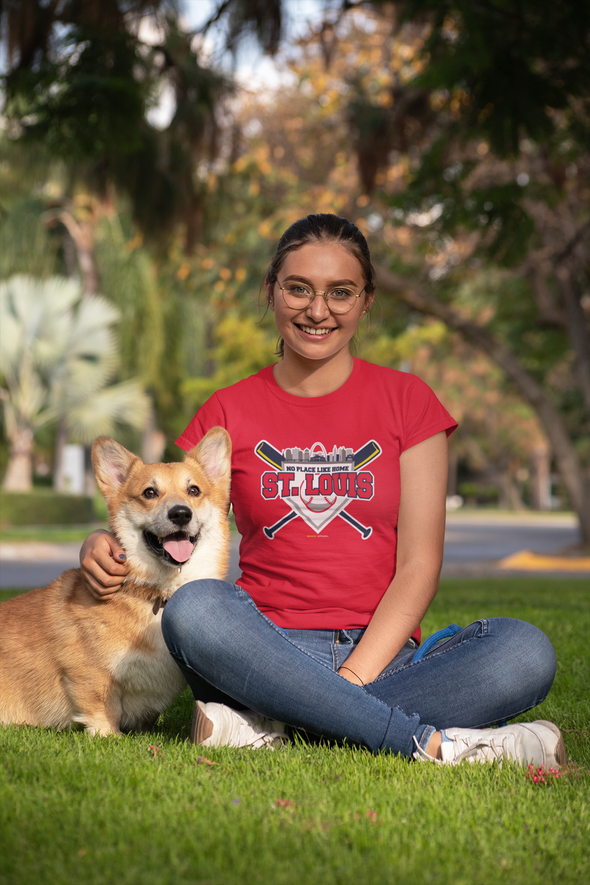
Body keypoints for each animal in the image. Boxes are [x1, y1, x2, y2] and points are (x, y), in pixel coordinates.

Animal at [0, 424, 231, 736]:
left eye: (193, 490)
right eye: (149, 492)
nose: (181, 513)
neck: (157, 593)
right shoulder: (90, 675)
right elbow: (103, 707)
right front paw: (109, 735)